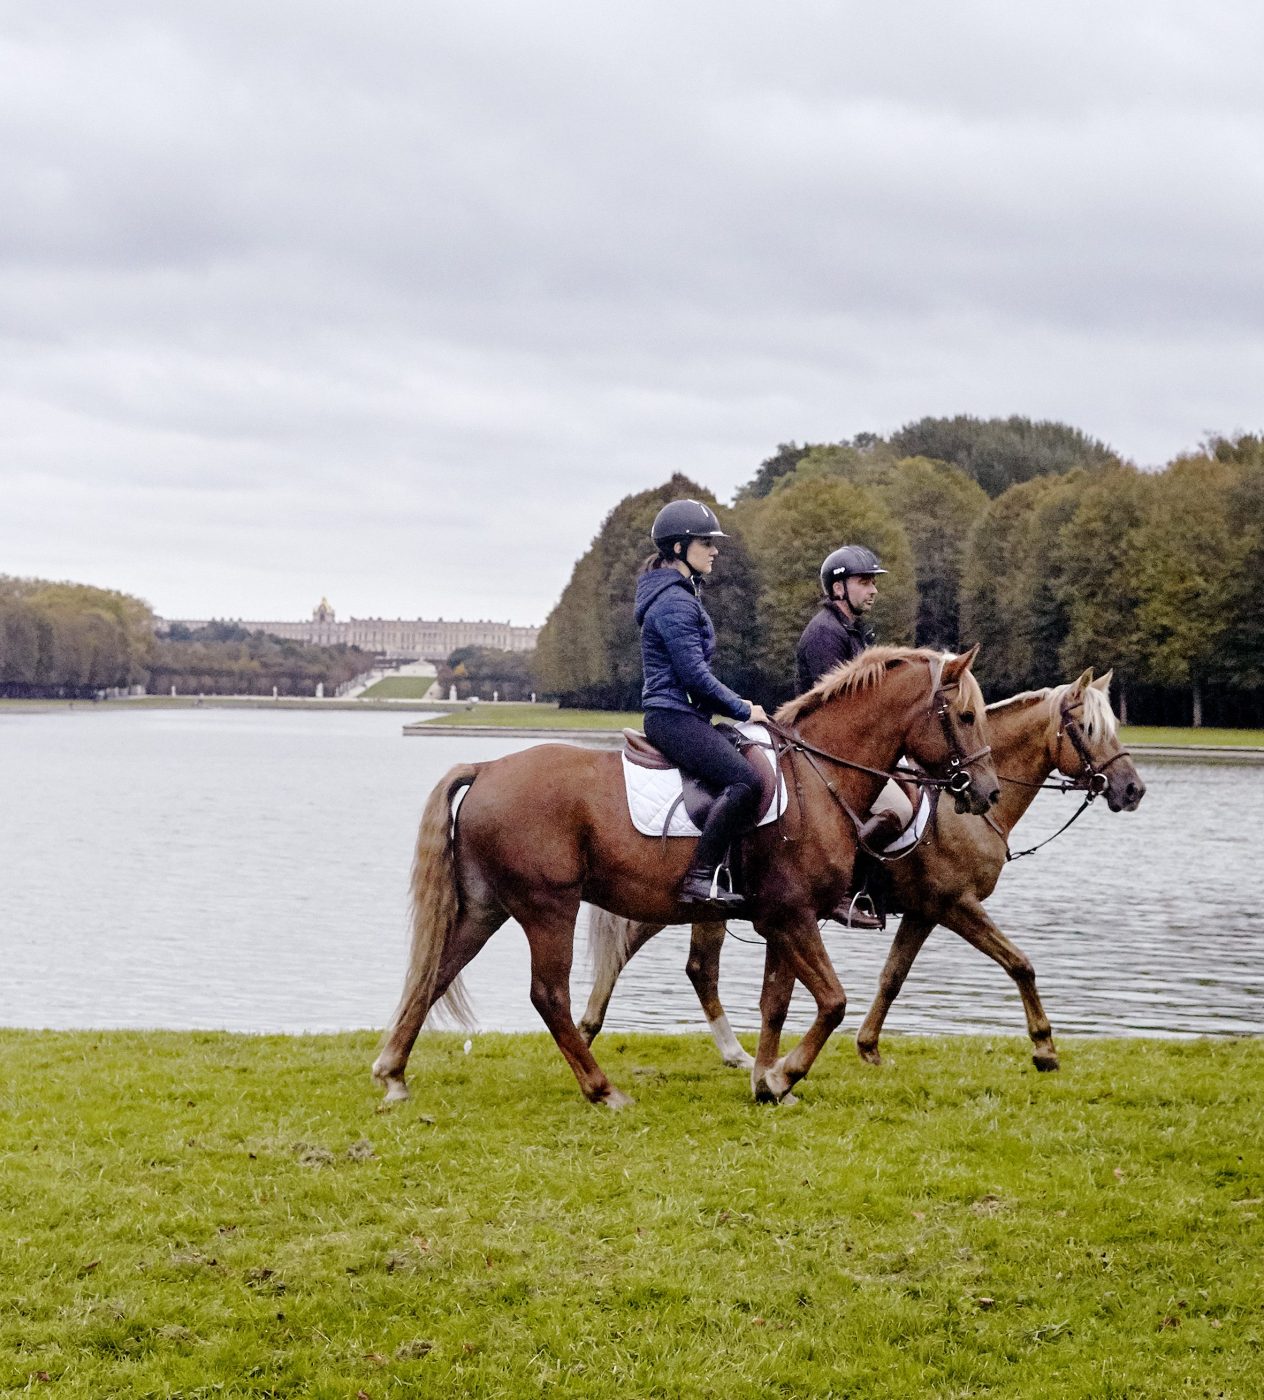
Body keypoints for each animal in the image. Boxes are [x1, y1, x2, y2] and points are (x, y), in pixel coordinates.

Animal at [372, 641, 996, 1108]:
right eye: (966, 716)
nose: (986, 792)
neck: (819, 778)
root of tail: (487, 767)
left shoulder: (782, 919)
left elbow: (777, 1003)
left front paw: (766, 1081)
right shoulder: (793, 915)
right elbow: (833, 1001)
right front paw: (783, 1076)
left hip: (487, 906)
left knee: (437, 971)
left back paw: (394, 1073)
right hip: (549, 908)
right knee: (547, 995)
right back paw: (601, 1089)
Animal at [579, 672, 1147, 1075]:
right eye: (1090, 730)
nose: (1133, 789)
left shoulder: (924, 912)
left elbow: (893, 977)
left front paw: (869, 1046)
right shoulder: (956, 904)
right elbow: (1020, 963)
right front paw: (1045, 1047)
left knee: (675, 962)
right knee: (666, 960)